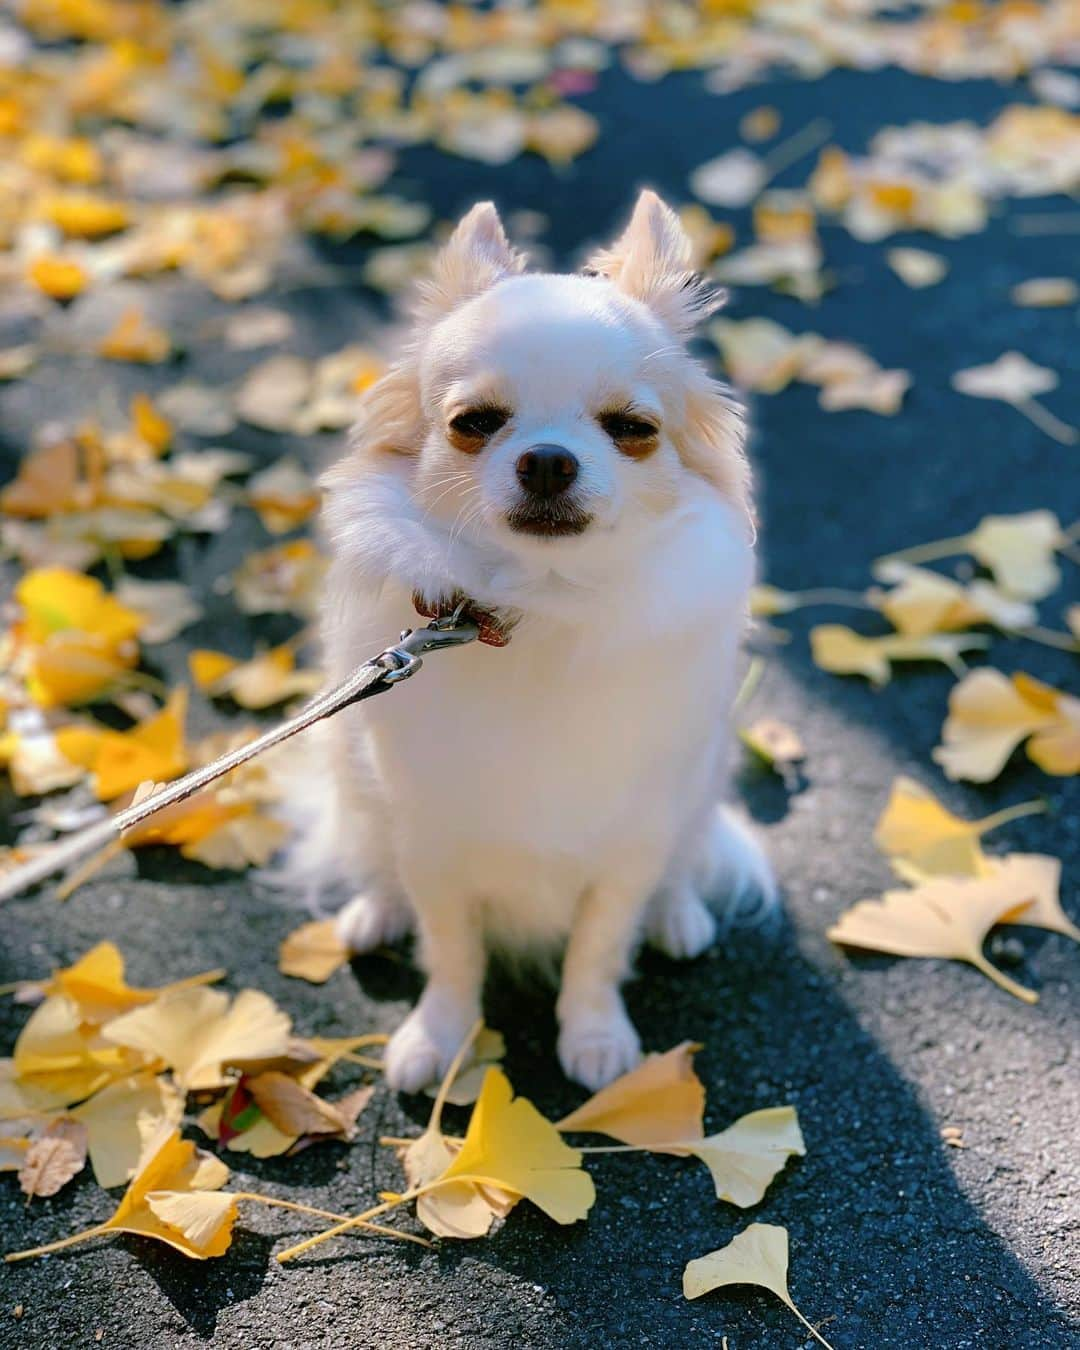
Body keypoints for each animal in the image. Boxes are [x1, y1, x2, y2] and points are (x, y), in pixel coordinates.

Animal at [314, 190, 777, 1090]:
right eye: (474, 423)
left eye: (631, 427)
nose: (550, 460)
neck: (540, 602)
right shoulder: (433, 838)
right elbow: (452, 950)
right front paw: (440, 1035)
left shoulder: (631, 838)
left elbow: (599, 944)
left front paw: (594, 1035)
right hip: (357, 776)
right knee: (372, 851)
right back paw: (376, 908)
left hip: (702, 780)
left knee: (686, 855)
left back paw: (678, 914)